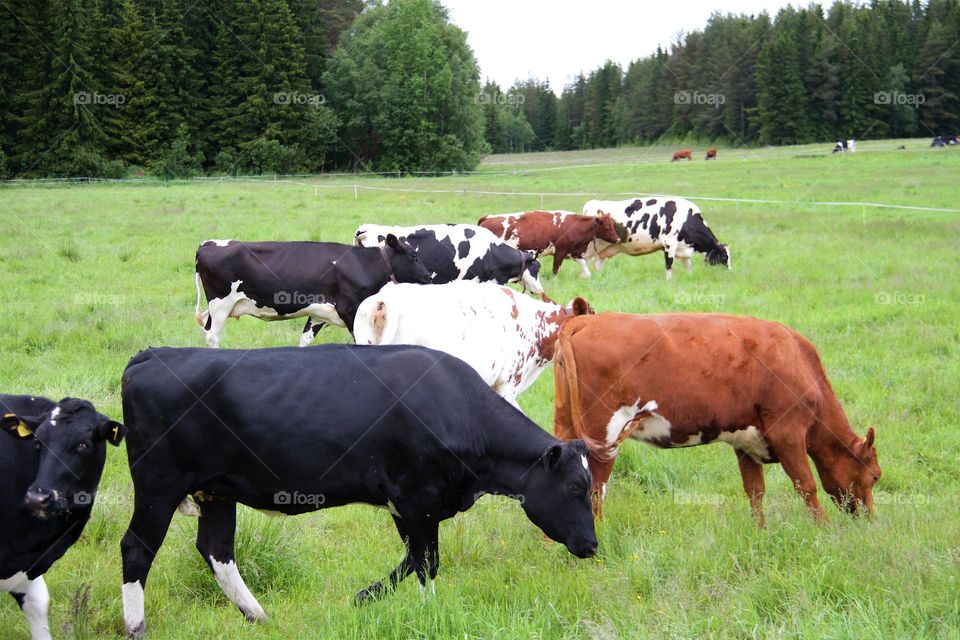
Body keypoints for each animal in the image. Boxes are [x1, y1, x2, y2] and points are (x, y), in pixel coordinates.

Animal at [119, 345, 597, 637]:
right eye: (574, 485)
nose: (592, 545)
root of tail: (153, 355)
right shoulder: (417, 498)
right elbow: (426, 564)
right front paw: (427, 612)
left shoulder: (409, 507)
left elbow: (415, 559)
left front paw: (364, 597)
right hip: (158, 486)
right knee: (137, 549)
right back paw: (136, 627)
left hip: (215, 491)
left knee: (217, 549)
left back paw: (258, 616)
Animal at [194, 235, 431, 348]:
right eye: (414, 256)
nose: (429, 276)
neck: (362, 264)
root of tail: (207, 244)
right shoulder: (350, 309)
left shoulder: (319, 313)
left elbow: (305, 340)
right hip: (220, 304)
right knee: (212, 336)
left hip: (217, 307)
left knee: (205, 327)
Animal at [477, 211, 622, 276]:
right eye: (607, 226)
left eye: (613, 224)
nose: (618, 239)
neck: (574, 225)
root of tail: (488, 217)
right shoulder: (560, 251)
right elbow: (555, 270)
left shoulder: (573, 252)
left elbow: (586, 270)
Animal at [552, 313, 881, 524]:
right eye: (876, 476)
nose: (869, 519)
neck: (800, 362)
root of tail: (587, 320)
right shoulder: (788, 433)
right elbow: (806, 484)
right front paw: (824, 528)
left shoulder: (745, 440)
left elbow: (754, 490)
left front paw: (759, 530)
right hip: (604, 436)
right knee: (595, 490)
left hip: (567, 424)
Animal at [580, 197, 731, 279]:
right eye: (724, 258)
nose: (730, 273)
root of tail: (591, 203)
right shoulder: (669, 244)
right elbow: (669, 264)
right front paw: (669, 280)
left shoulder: (683, 247)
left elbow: (688, 265)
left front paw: (689, 276)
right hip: (589, 246)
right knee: (584, 261)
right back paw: (586, 276)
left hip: (604, 249)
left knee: (597, 263)